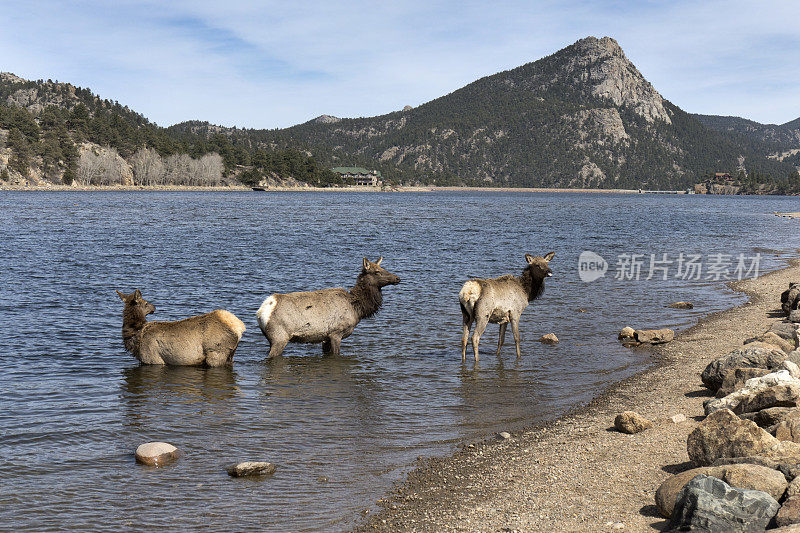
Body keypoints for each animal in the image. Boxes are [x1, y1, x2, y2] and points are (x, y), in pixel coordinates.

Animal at [116, 288, 244, 368]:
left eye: (146, 302)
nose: (154, 307)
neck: (135, 336)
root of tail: (240, 327)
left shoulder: (152, 359)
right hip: (230, 355)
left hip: (216, 352)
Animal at [258, 256, 400, 358]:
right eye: (377, 272)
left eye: (383, 268)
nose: (397, 278)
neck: (357, 308)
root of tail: (261, 311)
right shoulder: (336, 333)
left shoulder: (325, 338)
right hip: (279, 337)